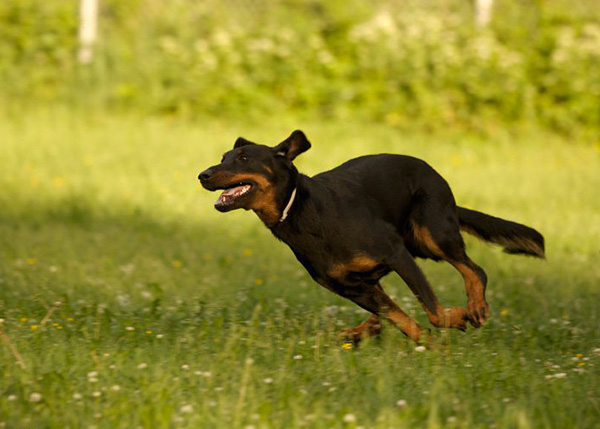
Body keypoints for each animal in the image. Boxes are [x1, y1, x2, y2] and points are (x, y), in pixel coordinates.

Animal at [199, 130, 548, 344]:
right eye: (223, 157)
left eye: (243, 158)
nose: (202, 175)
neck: (298, 208)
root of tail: (435, 174)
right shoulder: (352, 287)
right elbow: (402, 319)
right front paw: (431, 346)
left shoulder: (395, 254)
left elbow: (433, 312)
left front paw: (456, 319)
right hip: (414, 251)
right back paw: (364, 330)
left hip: (431, 233)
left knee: (475, 269)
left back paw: (475, 306)